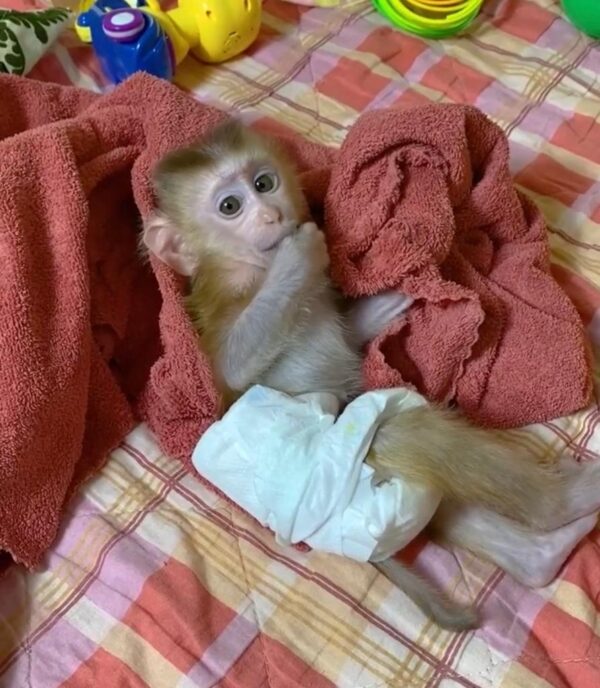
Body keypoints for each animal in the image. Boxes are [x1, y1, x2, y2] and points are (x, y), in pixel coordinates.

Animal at [143, 120, 600, 631]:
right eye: (229, 206)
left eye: (263, 183)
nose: (270, 214)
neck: (249, 267)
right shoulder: (226, 296)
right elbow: (231, 369)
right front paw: (297, 257)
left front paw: (378, 308)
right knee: (400, 432)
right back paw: (567, 501)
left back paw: (542, 553)